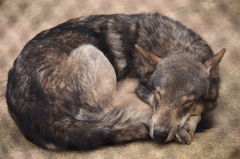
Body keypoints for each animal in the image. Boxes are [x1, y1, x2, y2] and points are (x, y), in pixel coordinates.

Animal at [5, 12, 225, 150]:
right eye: (158, 95)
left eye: (187, 102)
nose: (160, 135)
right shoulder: (126, 93)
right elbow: (195, 112)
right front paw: (186, 127)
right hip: (91, 52)